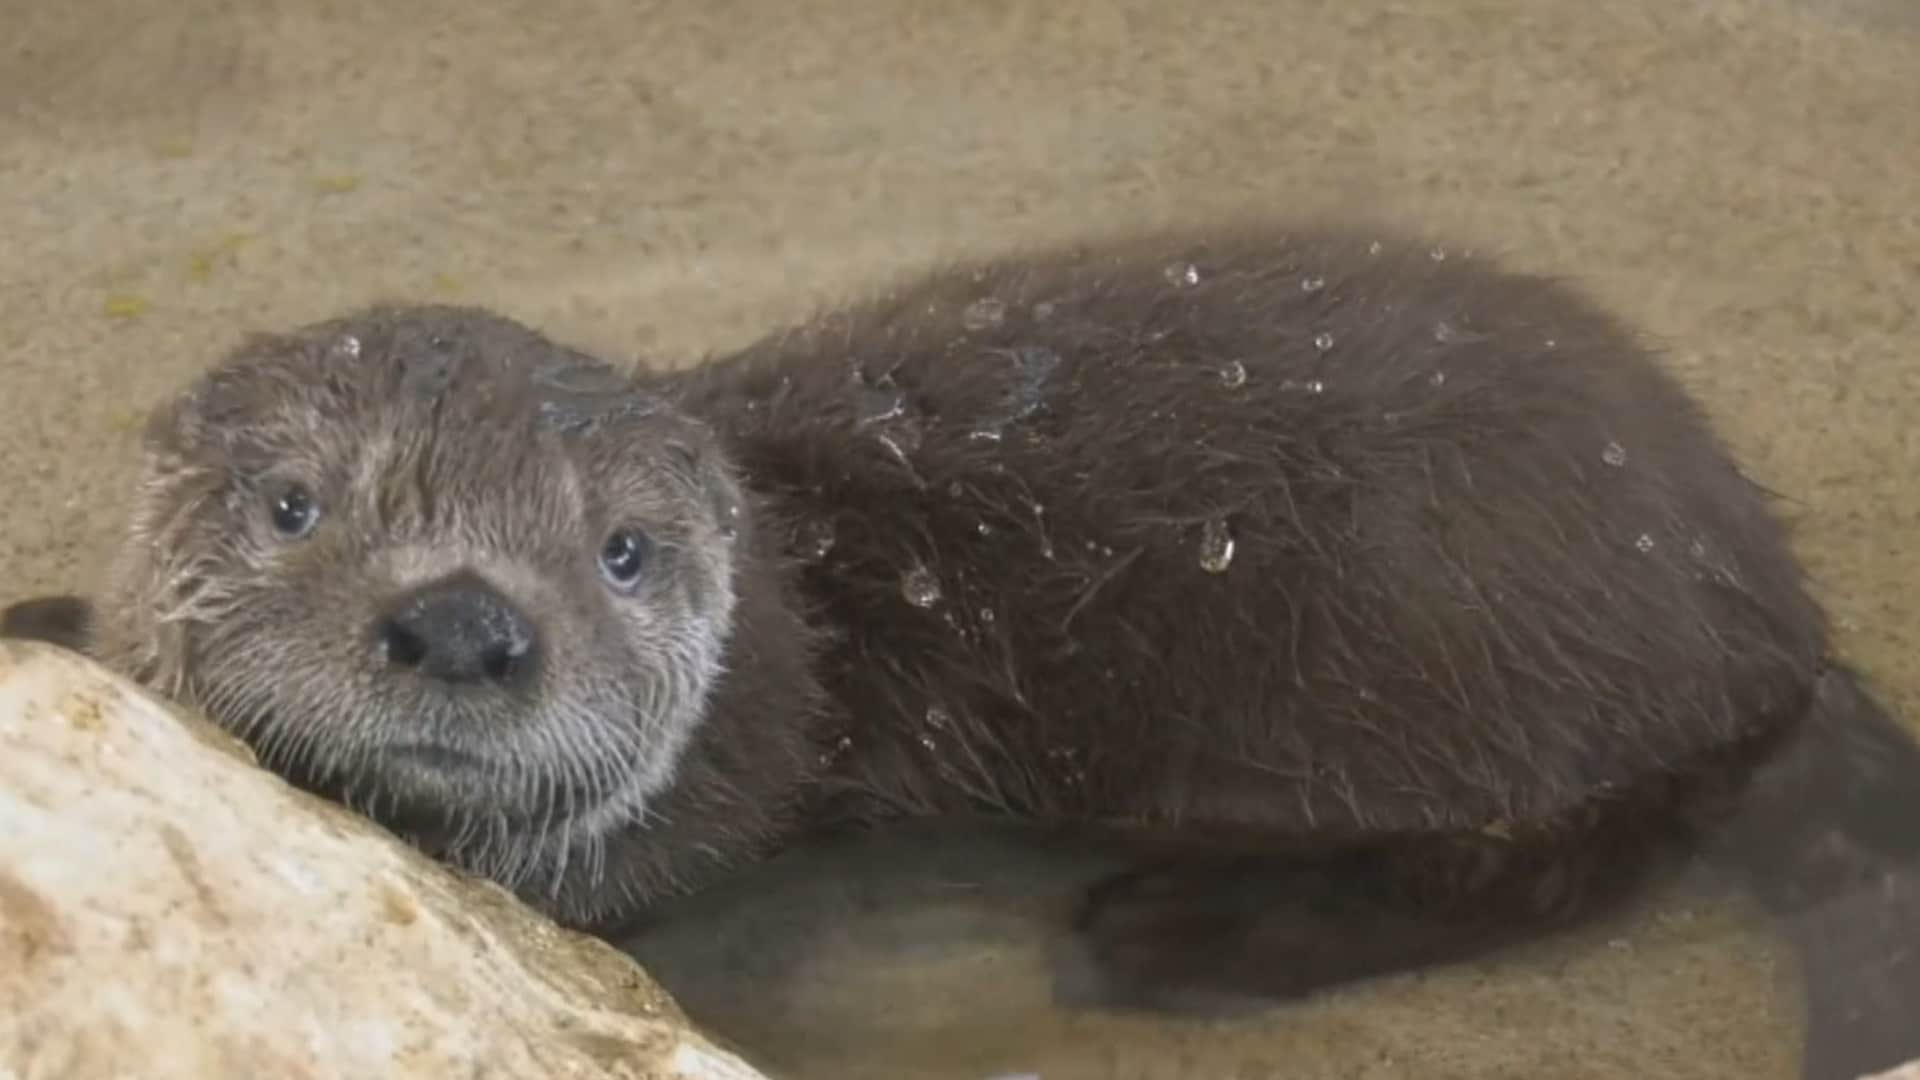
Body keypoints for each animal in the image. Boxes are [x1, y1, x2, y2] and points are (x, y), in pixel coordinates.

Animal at [6, 225, 1917, 1080]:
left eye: (620, 552)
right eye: (293, 506)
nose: (468, 620)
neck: (780, 658)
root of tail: (1761, 598)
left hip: (1472, 661)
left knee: (1554, 865)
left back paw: (1179, 935)